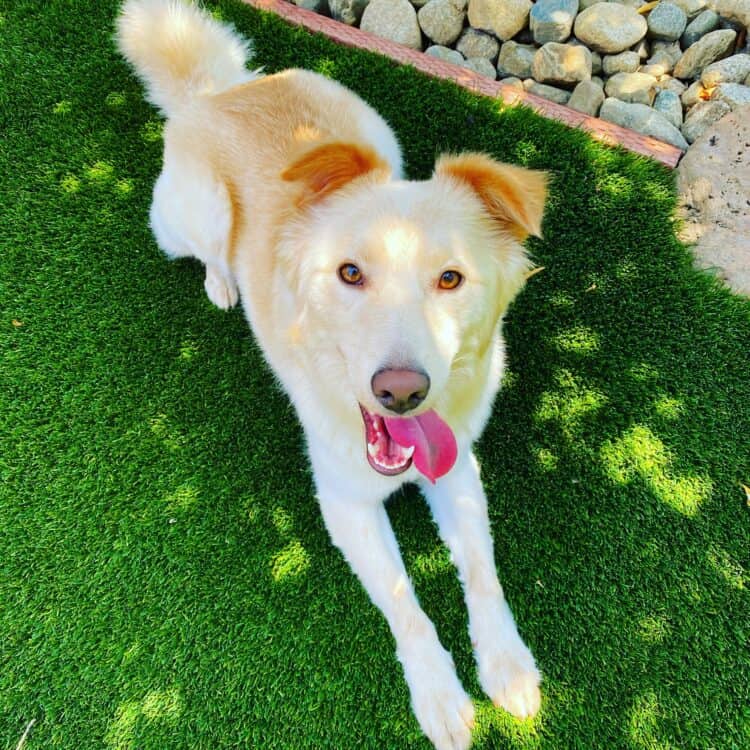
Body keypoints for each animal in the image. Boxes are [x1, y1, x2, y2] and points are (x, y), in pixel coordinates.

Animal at [117, 2, 548, 748]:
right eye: (349, 273)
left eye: (451, 279)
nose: (401, 392)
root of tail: (217, 92)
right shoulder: (344, 504)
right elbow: (405, 601)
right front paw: (439, 695)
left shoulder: (458, 467)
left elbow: (482, 571)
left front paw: (508, 665)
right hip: (195, 215)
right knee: (209, 250)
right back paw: (222, 284)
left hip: (380, 135)